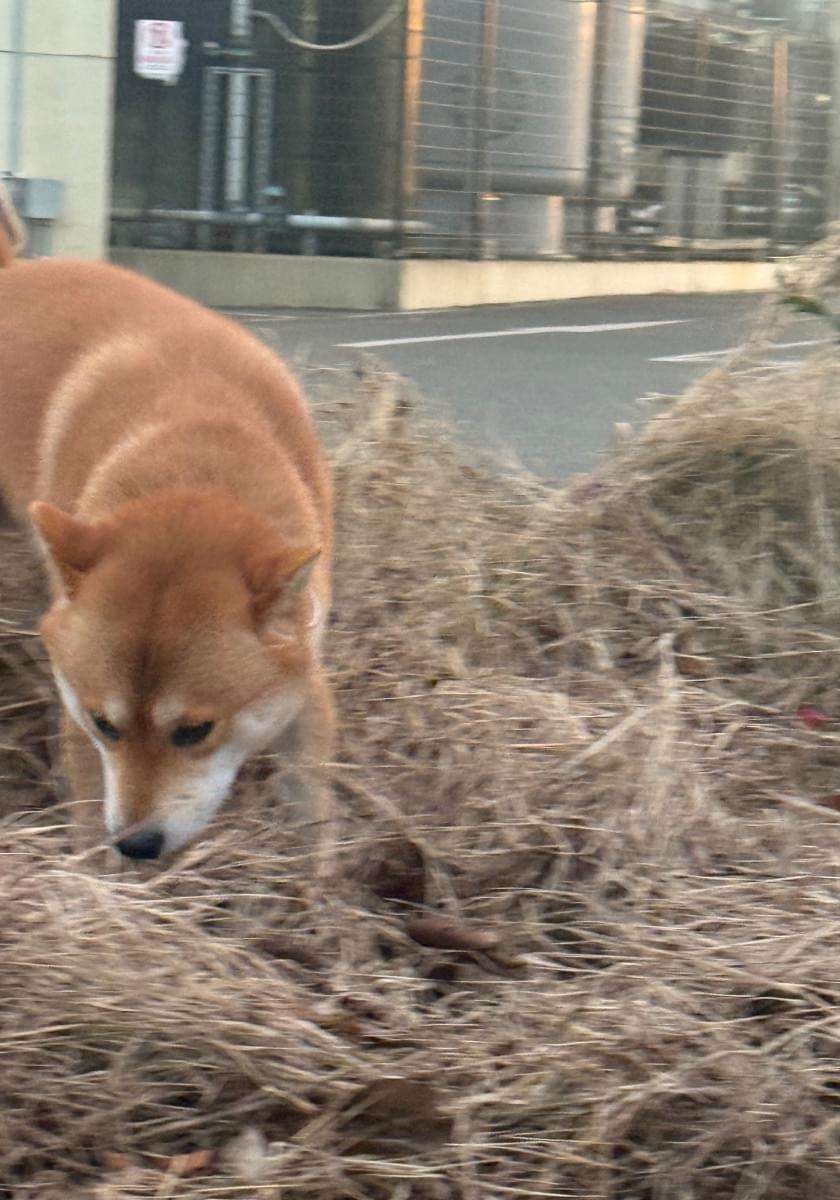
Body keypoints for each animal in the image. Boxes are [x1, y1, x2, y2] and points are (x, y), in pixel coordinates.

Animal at [0, 183, 335, 864]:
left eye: (195, 730)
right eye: (105, 725)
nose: (137, 844)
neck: (198, 446)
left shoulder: (307, 673)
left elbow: (312, 805)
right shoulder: (76, 705)